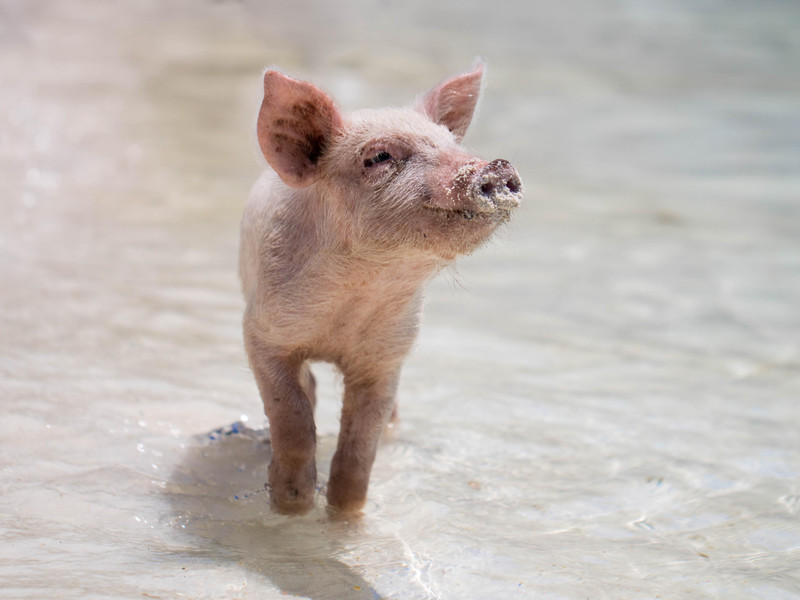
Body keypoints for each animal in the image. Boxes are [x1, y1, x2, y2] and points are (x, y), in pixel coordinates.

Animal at [241, 61, 520, 512]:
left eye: (451, 143)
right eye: (379, 156)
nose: (496, 167)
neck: (355, 298)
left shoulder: (388, 355)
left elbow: (360, 446)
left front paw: (344, 513)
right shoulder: (262, 333)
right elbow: (292, 416)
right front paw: (292, 504)